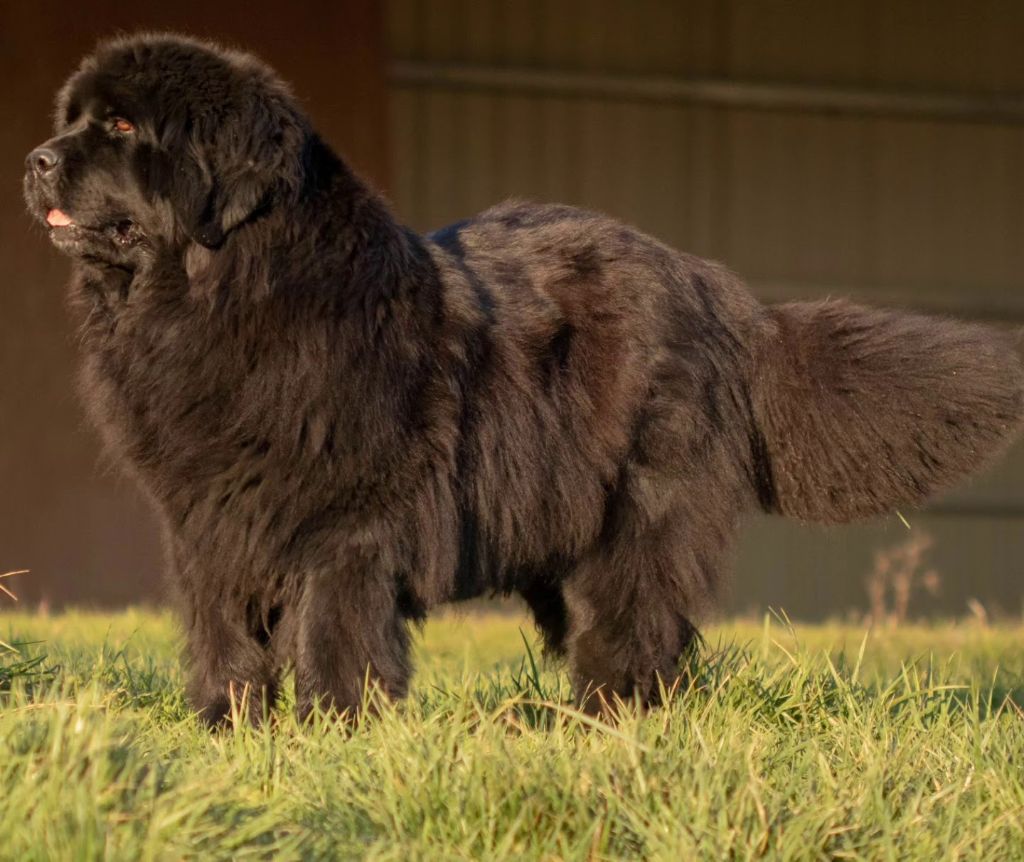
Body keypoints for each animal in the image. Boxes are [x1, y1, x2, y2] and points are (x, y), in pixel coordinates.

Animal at [24, 31, 1024, 720]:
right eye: (72, 121)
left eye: (122, 126)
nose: (35, 159)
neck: (223, 292)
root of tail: (717, 287)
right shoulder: (210, 517)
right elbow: (223, 630)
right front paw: (231, 729)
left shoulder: (343, 522)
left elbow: (332, 630)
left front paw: (333, 729)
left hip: (640, 507)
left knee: (639, 622)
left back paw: (608, 721)